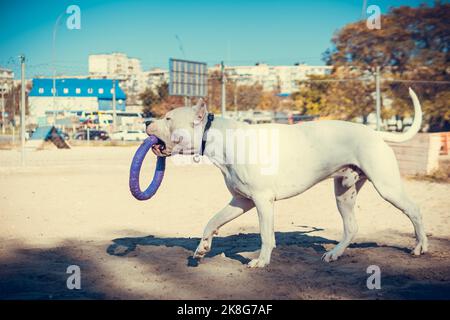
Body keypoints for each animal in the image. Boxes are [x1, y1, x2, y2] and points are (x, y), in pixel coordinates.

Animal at [147, 87, 428, 268]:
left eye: (168, 117)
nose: (147, 121)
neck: (219, 137)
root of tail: (374, 131)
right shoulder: (241, 201)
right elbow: (211, 221)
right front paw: (202, 249)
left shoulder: (262, 201)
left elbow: (265, 235)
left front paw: (261, 261)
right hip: (343, 193)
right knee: (351, 227)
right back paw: (334, 254)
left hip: (387, 187)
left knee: (415, 210)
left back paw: (420, 247)